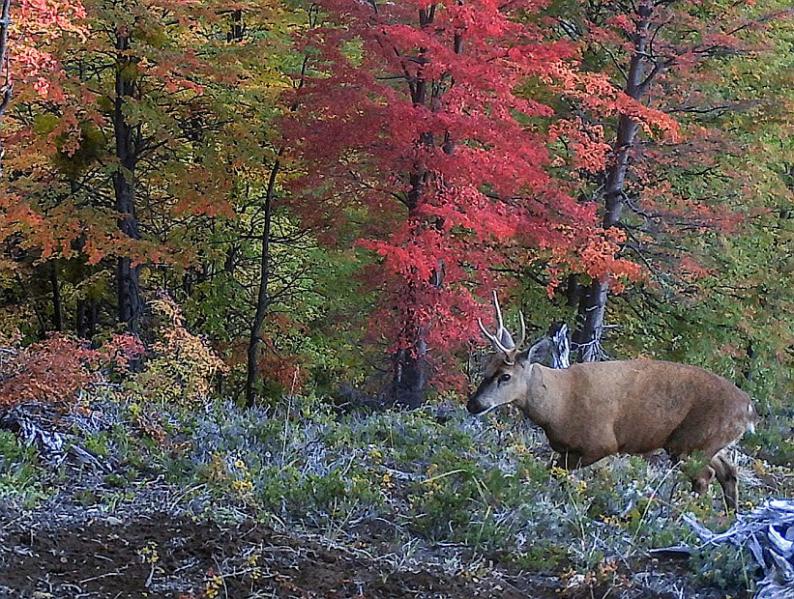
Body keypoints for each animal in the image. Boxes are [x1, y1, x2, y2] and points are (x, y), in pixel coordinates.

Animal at [468, 292, 756, 510]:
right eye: (486, 367)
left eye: (505, 376)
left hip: (689, 443)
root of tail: (749, 409)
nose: (474, 404)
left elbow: (558, 475)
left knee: (705, 477)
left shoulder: (601, 443)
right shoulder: (564, 448)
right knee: (729, 472)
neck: (558, 406)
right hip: (709, 443)